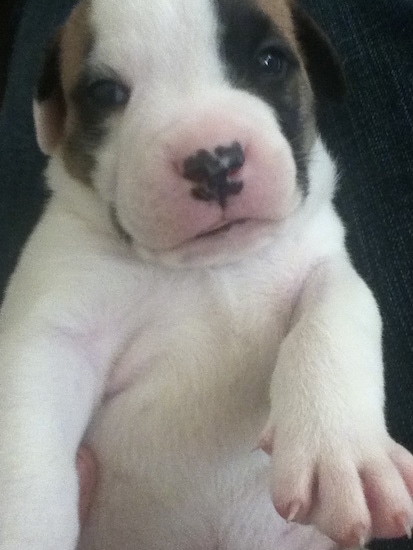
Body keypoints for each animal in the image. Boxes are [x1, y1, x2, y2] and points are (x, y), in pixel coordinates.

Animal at [0, 0, 412, 548]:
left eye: (269, 61)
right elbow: (25, 445)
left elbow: (335, 313)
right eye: (106, 93)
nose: (214, 160)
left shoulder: (326, 264)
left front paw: (340, 447)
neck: (212, 267)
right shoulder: (51, 337)